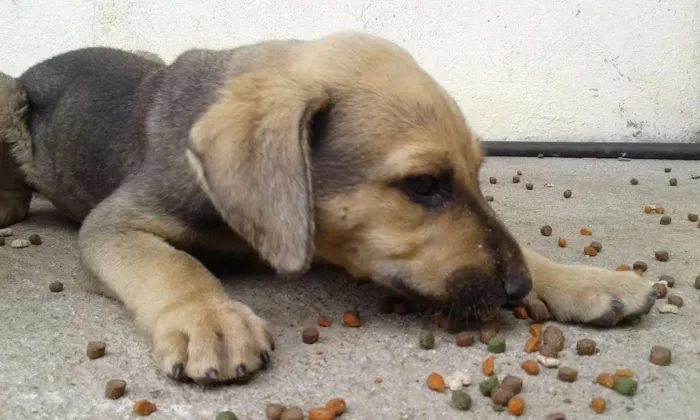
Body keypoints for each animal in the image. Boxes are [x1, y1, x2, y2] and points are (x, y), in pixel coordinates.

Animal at [1, 32, 656, 388]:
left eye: (477, 171)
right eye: (423, 184)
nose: (516, 288)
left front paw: (583, 279)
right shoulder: (115, 222)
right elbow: (172, 265)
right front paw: (208, 318)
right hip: (10, 92)